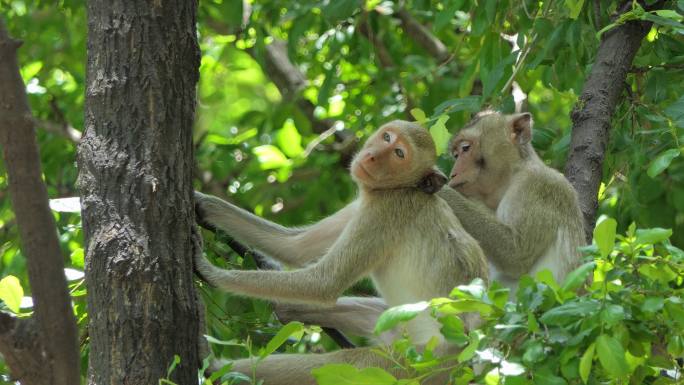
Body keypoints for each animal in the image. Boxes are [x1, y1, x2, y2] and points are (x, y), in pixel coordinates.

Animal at [195, 120, 488, 384]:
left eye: (399, 154)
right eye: (386, 137)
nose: (371, 155)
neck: (403, 187)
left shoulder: (383, 212)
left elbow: (325, 283)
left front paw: (209, 272)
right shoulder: (362, 206)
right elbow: (295, 248)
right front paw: (205, 204)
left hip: (412, 364)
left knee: (339, 365)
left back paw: (214, 366)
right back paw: (283, 309)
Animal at [276, 109, 584, 338]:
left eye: (465, 148)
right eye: (457, 153)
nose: (455, 170)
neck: (510, 178)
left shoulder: (538, 187)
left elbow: (517, 255)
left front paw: (436, 183)